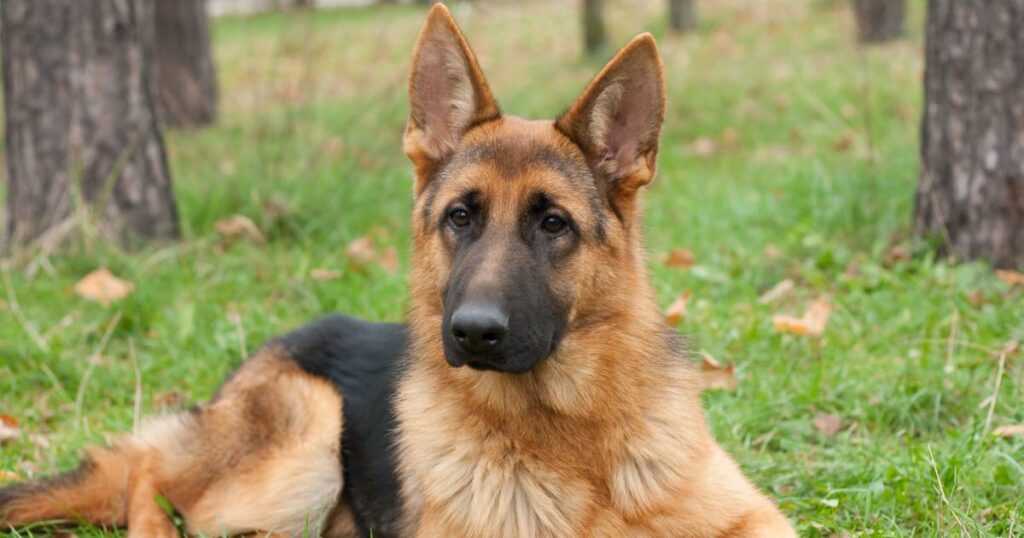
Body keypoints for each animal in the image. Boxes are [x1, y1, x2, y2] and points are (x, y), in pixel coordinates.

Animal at [0, 5, 794, 536]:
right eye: (461, 217)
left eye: (554, 224)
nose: (473, 333)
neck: (572, 435)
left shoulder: (754, 520)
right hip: (303, 447)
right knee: (145, 477)